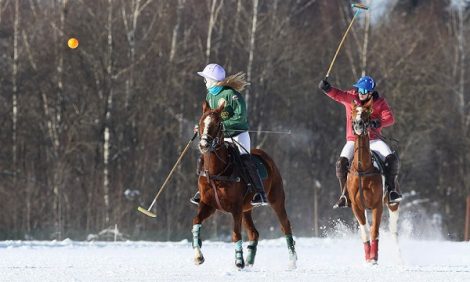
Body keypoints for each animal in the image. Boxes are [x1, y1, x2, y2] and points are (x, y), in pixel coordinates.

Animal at [192, 101, 298, 268]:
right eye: (201, 122)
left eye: (218, 123)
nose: (204, 144)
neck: (218, 172)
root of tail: (265, 154)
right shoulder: (208, 204)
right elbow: (196, 221)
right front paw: (198, 255)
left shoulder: (235, 207)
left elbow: (236, 234)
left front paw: (238, 261)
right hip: (247, 208)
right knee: (254, 232)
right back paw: (249, 260)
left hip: (277, 199)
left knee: (285, 225)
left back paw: (292, 260)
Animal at [348, 99, 400, 264]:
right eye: (353, 112)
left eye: (366, 113)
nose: (358, 124)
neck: (362, 168)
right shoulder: (357, 207)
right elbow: (365, 231)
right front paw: (368, 257)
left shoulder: (378, 205)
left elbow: (374, 231)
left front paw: (374, 257)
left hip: (393, 204)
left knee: (393, 230)